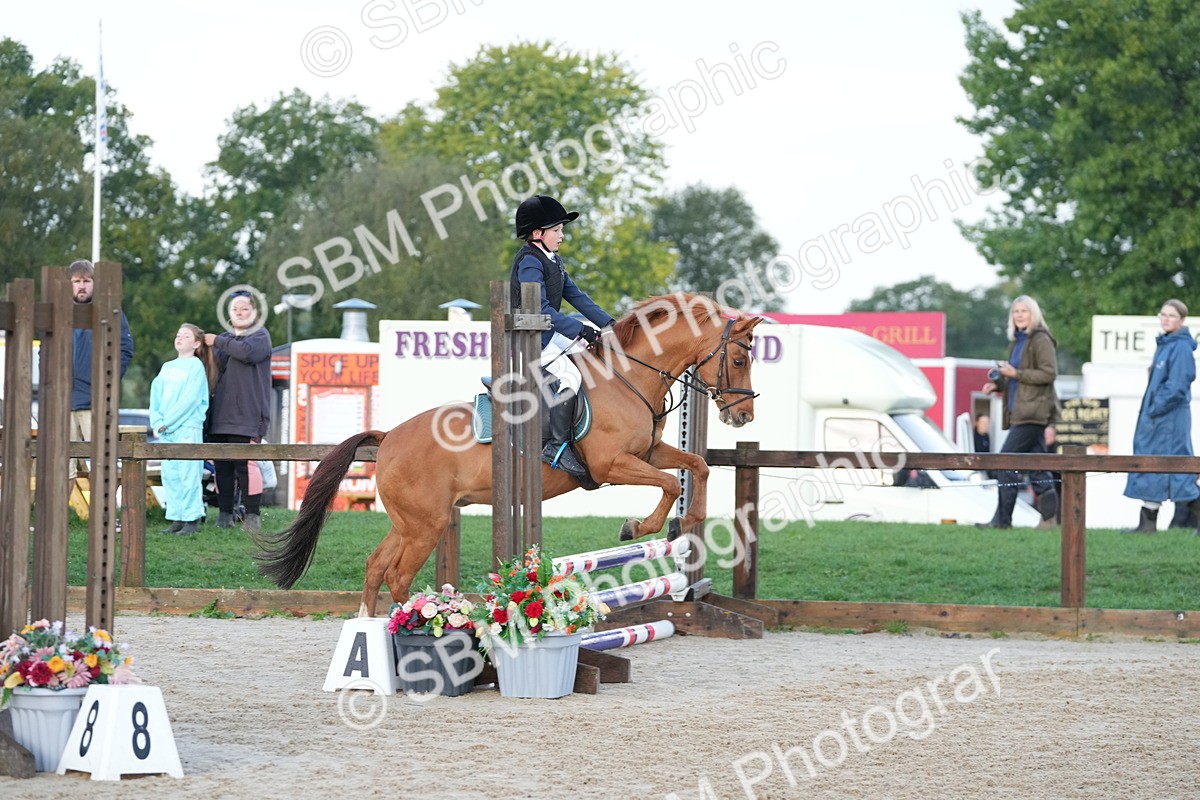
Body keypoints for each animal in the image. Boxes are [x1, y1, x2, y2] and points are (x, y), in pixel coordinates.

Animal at [254, 293, 762, 616]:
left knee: (377, 566)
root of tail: (391, 435)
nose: (743, 416)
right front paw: (638, 527)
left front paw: (690, 518)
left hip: (411, 521)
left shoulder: (650, 451)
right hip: (425, 525)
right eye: (738, 360)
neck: (626, 378)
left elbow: (695, 466)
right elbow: (671, 482)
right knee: (397, 575)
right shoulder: (611, 465)